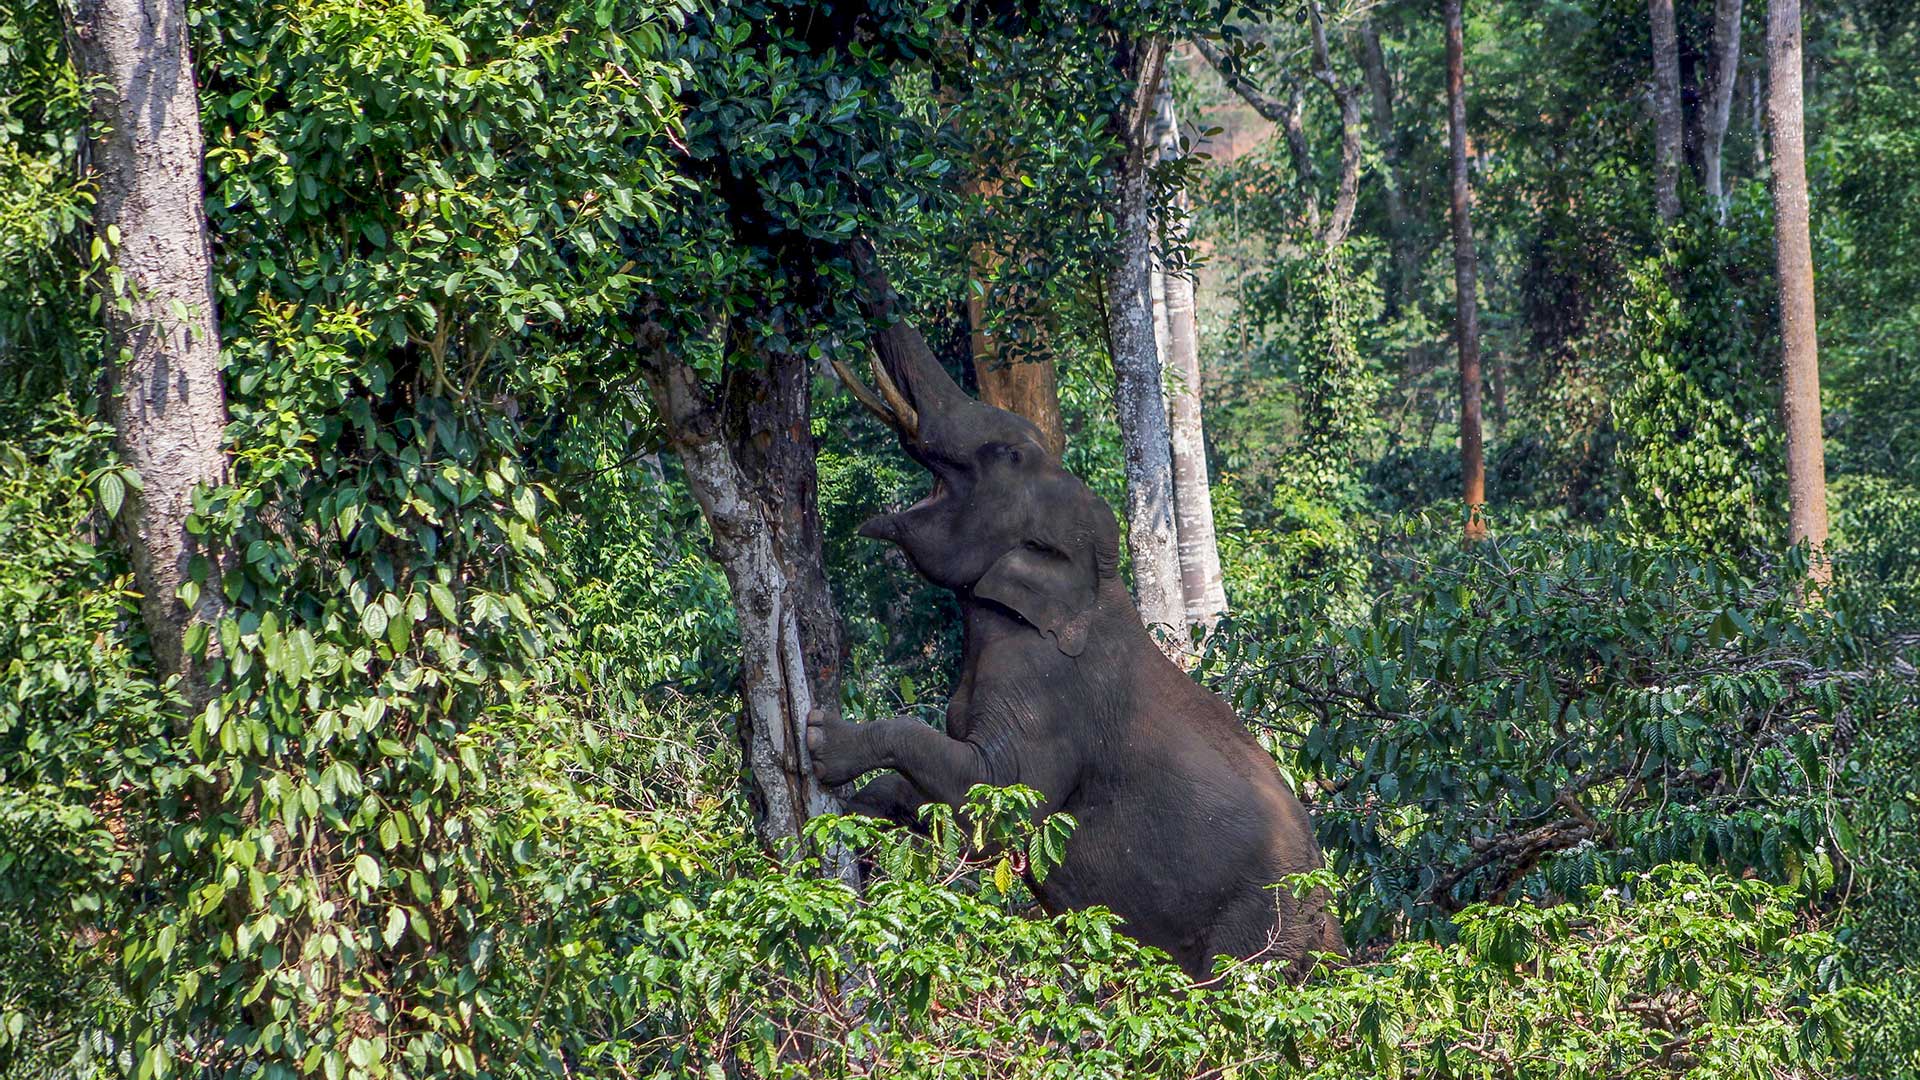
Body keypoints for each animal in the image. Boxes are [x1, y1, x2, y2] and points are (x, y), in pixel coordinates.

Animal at [802, 242, 1344, 976]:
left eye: (1005, 454)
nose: (853, 240)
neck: (1093, 581)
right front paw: (861, 819)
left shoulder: (1050, 696)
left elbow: (996, 798)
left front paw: (823, 741)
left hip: (1259, 930)